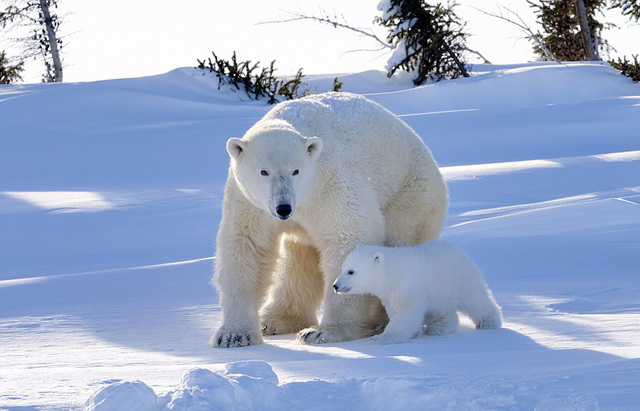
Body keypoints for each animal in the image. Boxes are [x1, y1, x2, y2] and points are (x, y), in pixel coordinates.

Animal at [212, 91, 448, 348]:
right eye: (263, 171)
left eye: (296, 170)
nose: (284, 208)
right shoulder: (250, 202)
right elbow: (248, 246)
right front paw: (234, 335)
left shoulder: (330, 185)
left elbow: (350, 237)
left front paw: (322, 332)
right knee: (300, 260)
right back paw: (276, 320)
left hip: (409, 195)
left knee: (399, 249)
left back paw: (378, 322)